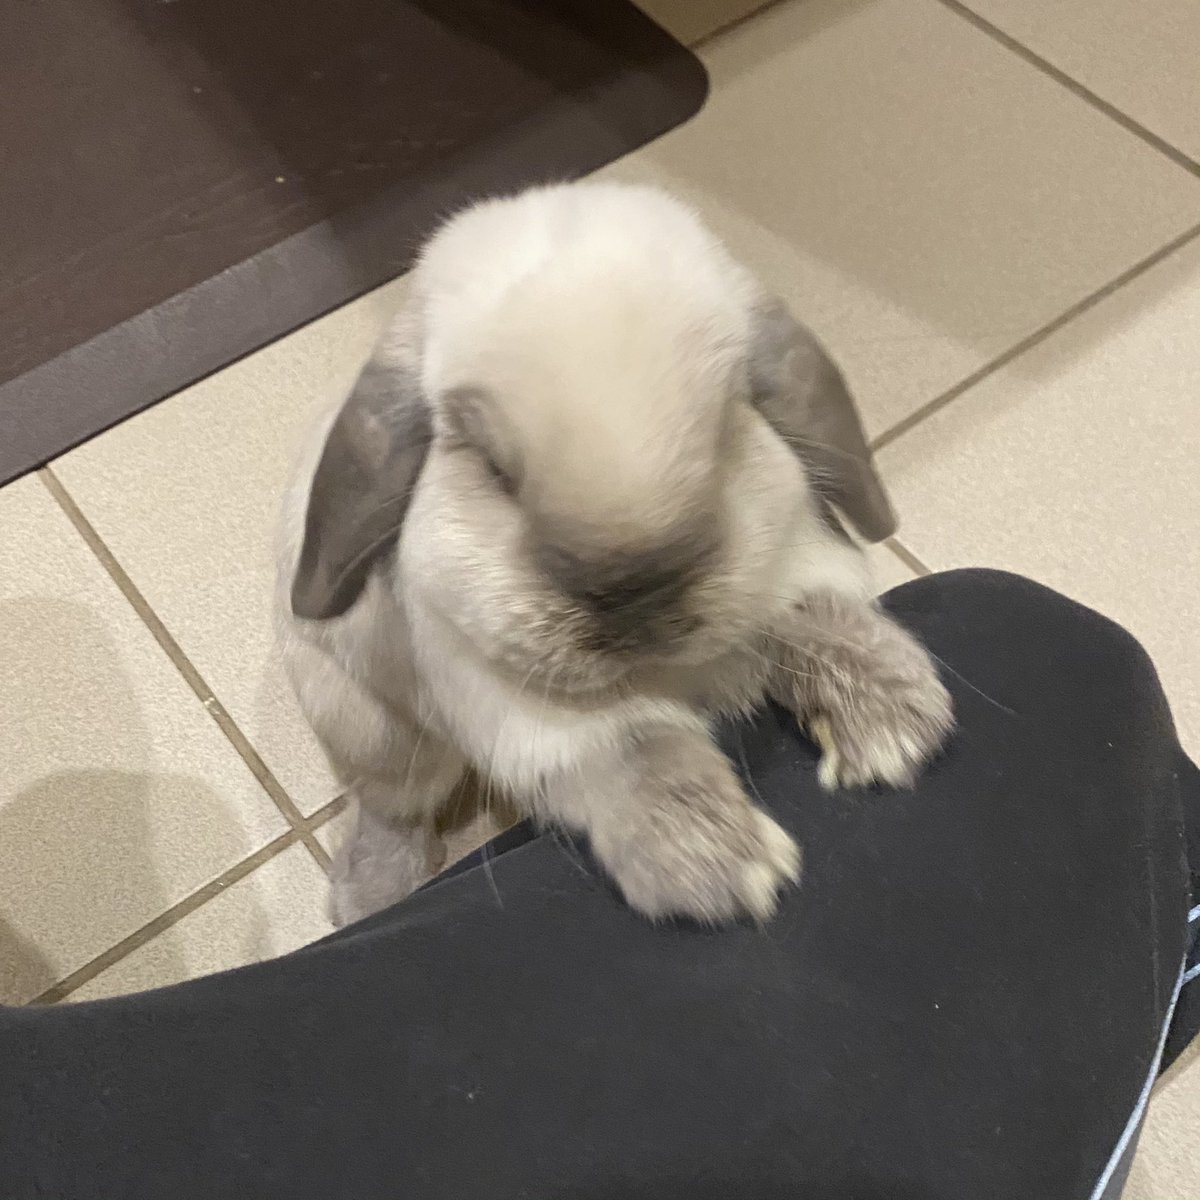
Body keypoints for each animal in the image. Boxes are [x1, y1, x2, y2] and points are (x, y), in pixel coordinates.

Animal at [275, 181, 954, 928]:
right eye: (493, 470)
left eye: (725, 428)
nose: (636, 595)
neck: (666, 664)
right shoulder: (531, 715)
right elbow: (641, 754)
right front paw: (725, 868)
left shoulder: (792, 572)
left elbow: (821, 625)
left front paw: (897, 726)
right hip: (371, 729)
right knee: (391, 809)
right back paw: (368, 897)